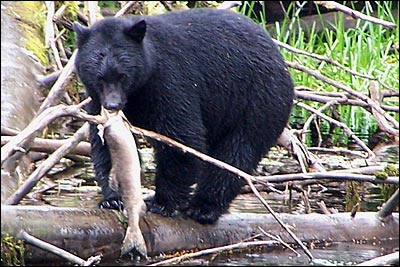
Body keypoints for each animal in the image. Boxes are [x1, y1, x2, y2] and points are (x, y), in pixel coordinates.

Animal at [74, 7, 294, 225]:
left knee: (237, 152)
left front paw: (162, 203)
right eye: (100, 78)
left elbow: (181, 138)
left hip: (259, 101)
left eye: (123, 75)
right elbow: (102, 144)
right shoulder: (96, 101)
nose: (113, 105)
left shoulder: (170, 82)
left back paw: (203, 207)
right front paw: (112, 199)